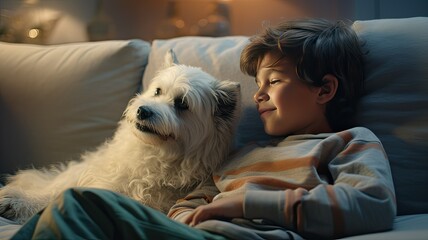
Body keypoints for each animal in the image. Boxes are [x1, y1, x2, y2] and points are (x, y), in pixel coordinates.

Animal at [0, 49, 241, 224]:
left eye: (182, 103)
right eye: (157, 91)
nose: (143, 111)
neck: (153, 154)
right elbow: (52, 192)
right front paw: (17, 201)